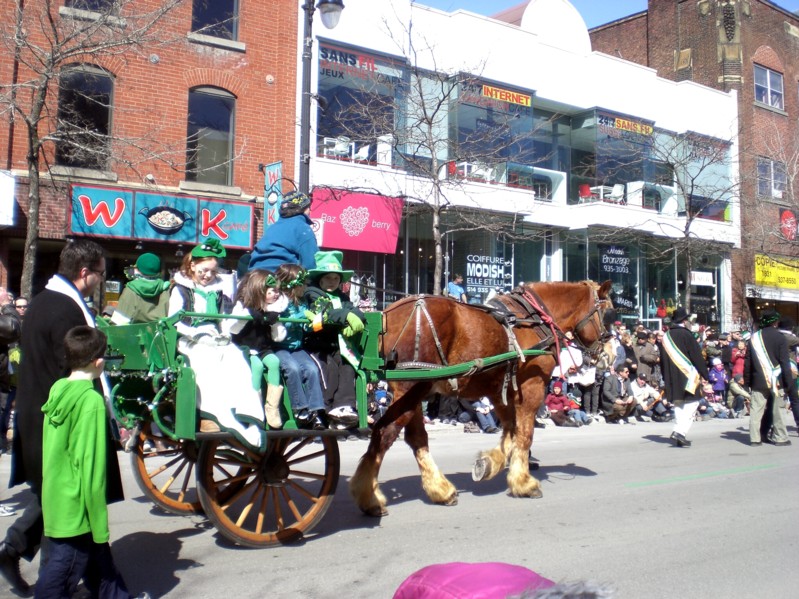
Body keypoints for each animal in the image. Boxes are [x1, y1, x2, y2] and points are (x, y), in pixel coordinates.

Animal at [349, 280, 613, 517]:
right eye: (605, 312)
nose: (608, 355)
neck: (534, 319)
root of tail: (386, 315)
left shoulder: (500, 392)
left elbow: (510, 432)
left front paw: (488, 464)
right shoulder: (532, 387)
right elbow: (524, 435)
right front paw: (524, 483)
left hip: (415, 391)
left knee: (415, 438)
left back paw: (440, 489)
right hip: (412, 388)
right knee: (385, 433)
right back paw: (370, 497)